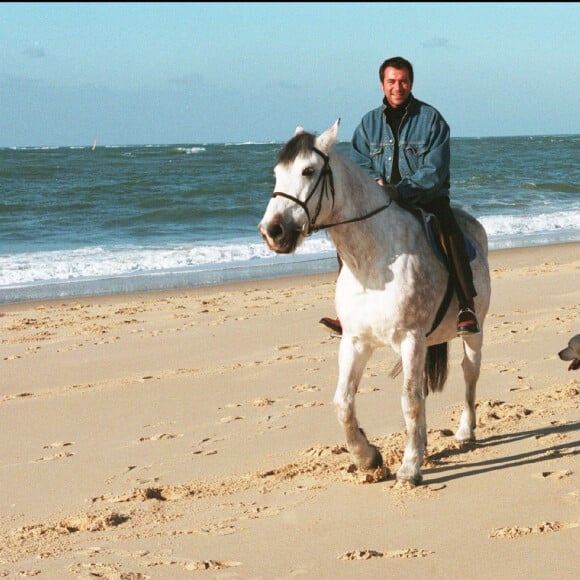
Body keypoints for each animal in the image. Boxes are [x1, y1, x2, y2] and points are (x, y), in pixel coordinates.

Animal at [258, 119, 490, 484]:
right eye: (277, 173)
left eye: (308, 170)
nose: (272, 231)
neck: (374, 263)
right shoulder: (355, 341)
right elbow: (343, 403)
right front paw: (368, 458)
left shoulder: (411, 338)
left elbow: (410, 401)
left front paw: (409, 467)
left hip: (473, 331)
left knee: (469, 373)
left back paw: (465, 431)